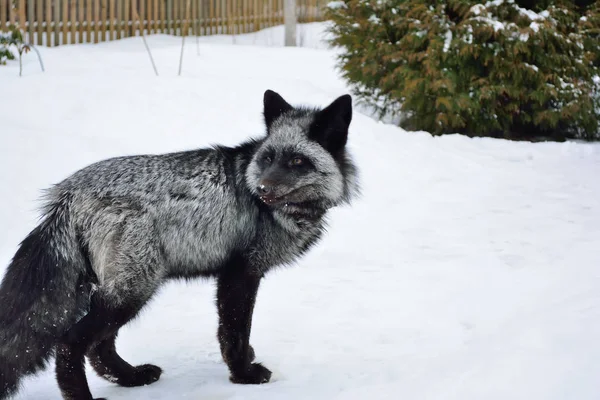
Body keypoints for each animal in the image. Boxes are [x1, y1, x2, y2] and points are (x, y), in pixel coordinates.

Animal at [0, 89, 356, 398]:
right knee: (71, 343)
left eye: (297, 162)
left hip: (119, 288)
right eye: (268, 159)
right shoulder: (240, 272)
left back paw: (131, 377)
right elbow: (234, 331)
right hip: (133, 289)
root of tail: (67, 193)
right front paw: (244, 375)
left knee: (100, 347)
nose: (263, 189)